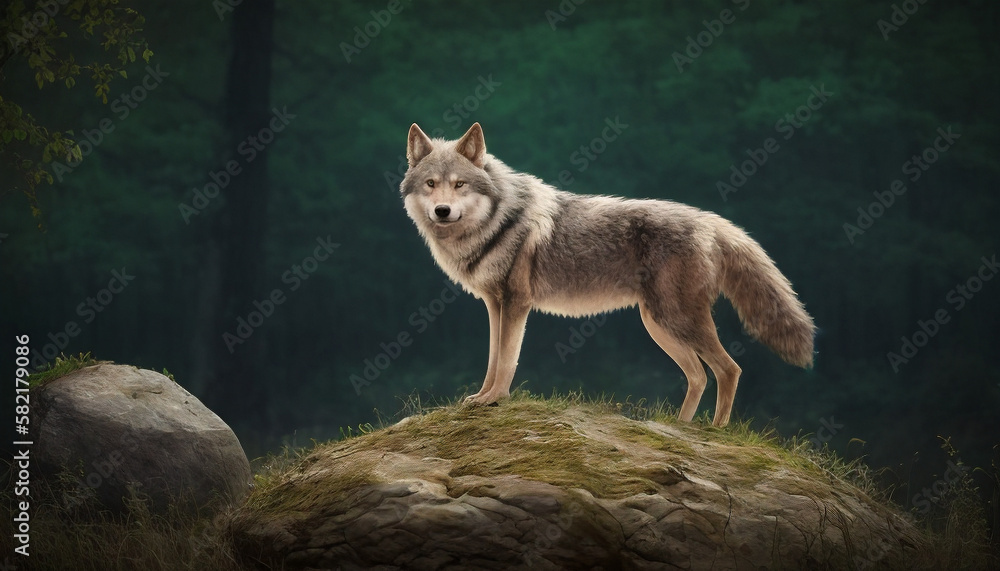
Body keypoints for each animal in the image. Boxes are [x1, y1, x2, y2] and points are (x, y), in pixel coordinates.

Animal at [400, 122, 815, 426]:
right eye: (431, 184)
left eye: (459, 184)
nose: (441, 211)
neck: (498, 222)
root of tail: (710, 221)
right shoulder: (493, 305)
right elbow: (491, 359)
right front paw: (481, 398)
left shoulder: (517, 304)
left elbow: (506, 360)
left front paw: (496, 401)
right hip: (658, 325)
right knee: (699, 375)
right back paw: (680, 428)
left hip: (676, 321)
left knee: (729, 369)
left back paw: (714, 433)